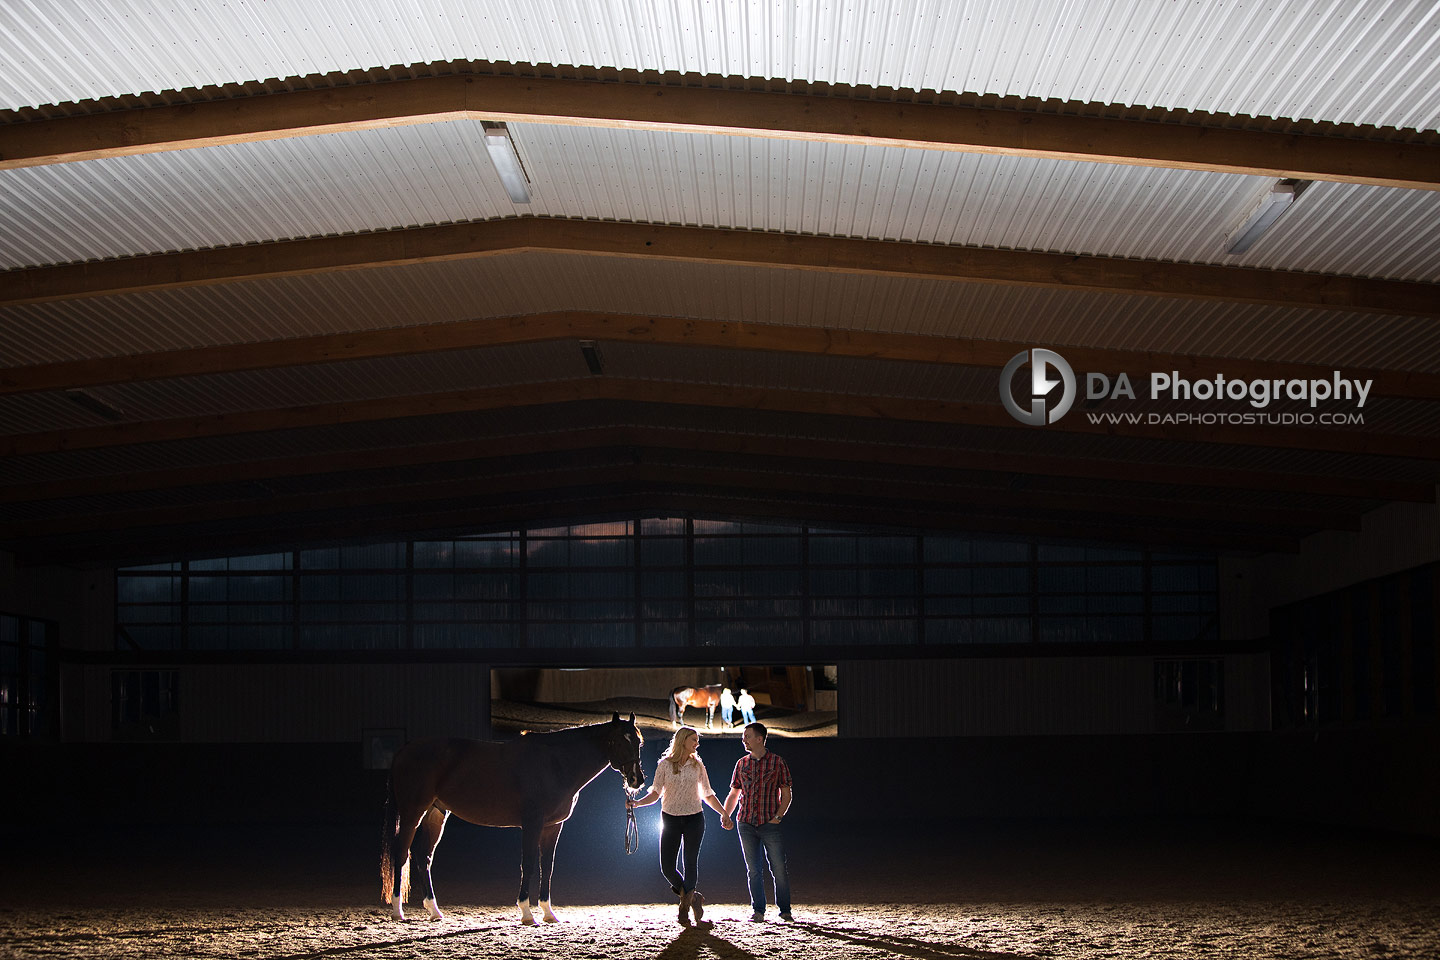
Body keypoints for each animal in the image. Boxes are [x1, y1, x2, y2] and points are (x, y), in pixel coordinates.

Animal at [388, 713, 648, 921]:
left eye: (638, 741)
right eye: (617, 741)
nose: (637, 780)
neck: (554, 764)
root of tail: (405, 749)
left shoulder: (553, 826)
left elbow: (547, 866)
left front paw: (548, 913)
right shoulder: (532, 823)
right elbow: (529, 864)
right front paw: (526, 913)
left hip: (436, 813)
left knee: (423, 856)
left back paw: (434, 910)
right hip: (412, 812)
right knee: (400, 854)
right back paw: (397, 911)